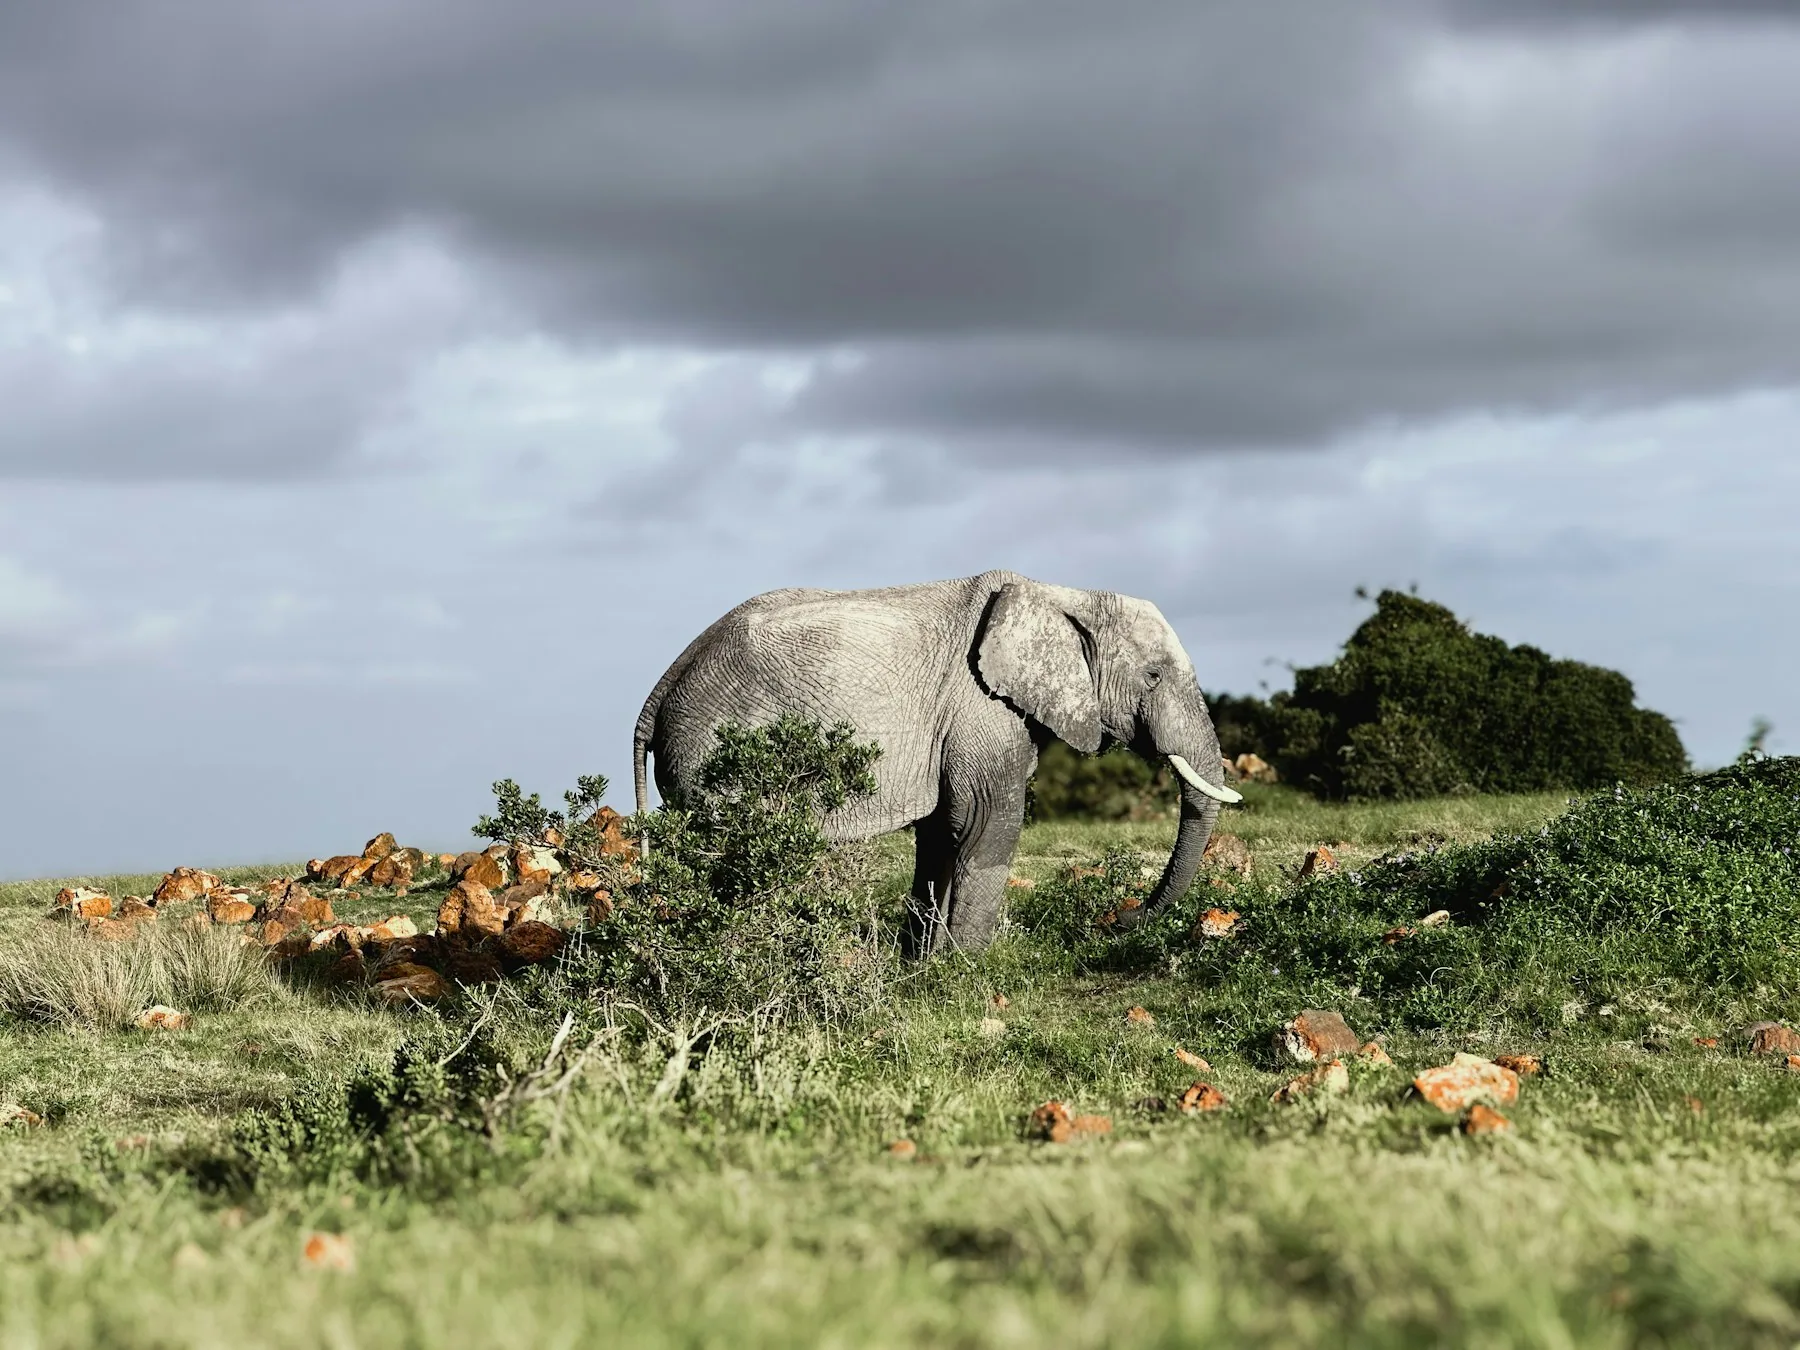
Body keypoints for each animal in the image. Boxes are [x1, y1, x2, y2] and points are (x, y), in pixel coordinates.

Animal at [632, 570, 1241, 956]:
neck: (1064, 595)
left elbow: (944, 833)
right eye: (1153, 676)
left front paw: (924, 965)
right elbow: (986, 826)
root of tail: (661, 689)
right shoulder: (981, 705)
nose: (1118, 918)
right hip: (715, 752)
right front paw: (965, 971)